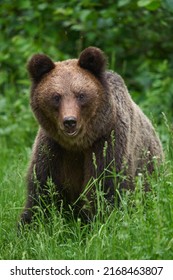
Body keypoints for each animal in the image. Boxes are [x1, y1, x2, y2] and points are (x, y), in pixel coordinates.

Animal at [20, 46, 164, 224]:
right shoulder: (53, 148)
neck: (78, 144)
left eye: (81, 95)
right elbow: (43, 192)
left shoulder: (107, 141)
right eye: (56, 96)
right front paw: (30, 224)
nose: (70, 121)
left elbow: (105, 187)